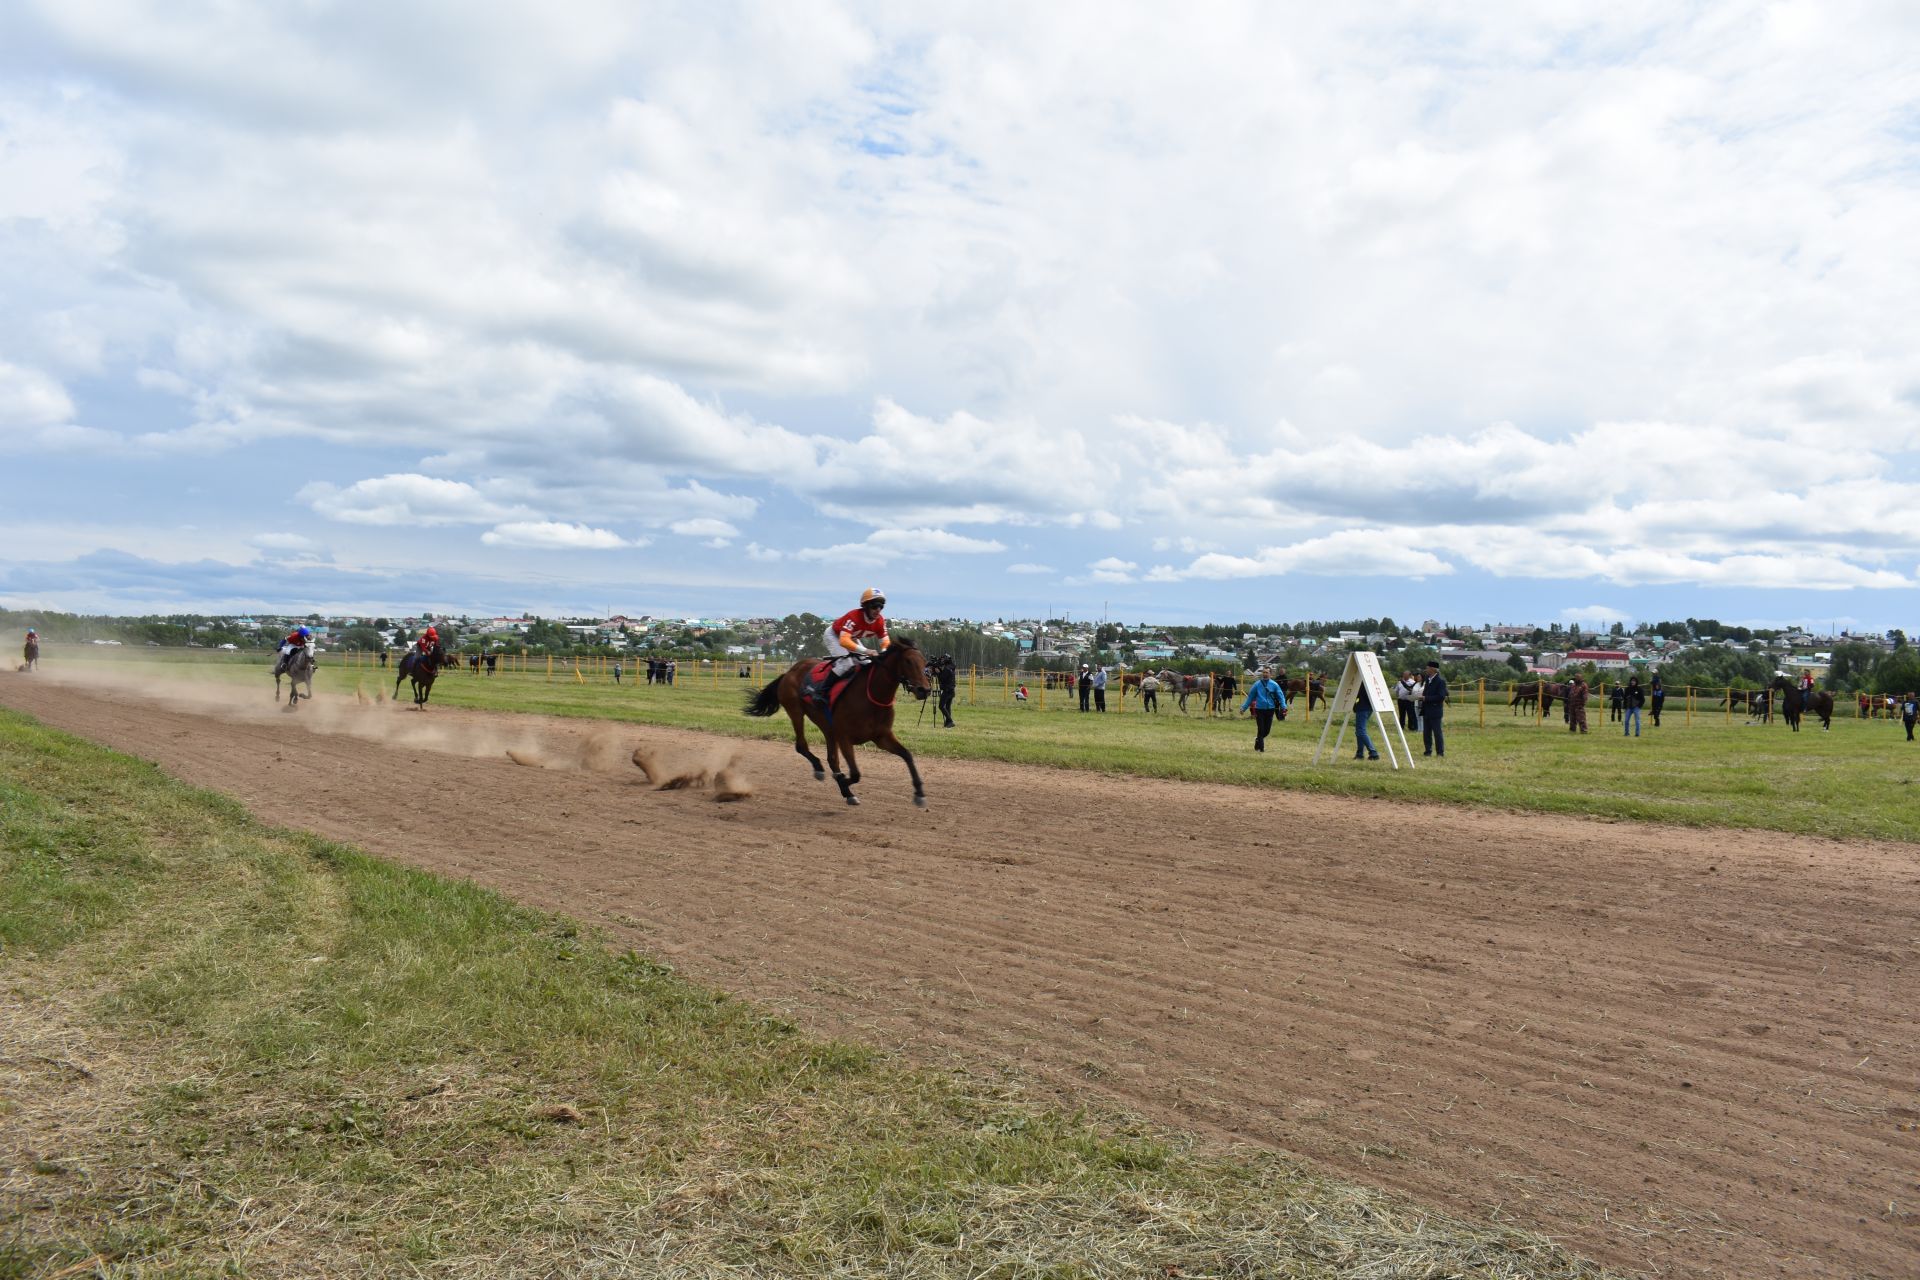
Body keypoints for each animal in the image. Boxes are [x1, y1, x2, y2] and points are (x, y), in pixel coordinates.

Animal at [744, 640, 933, 809]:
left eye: (925, 662)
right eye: (908, 661)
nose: (924, 690)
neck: (870, 695)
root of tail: (790, 671)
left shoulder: (882, 737)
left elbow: (907, 755)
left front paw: (919, 794)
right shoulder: (845, 737)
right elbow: (855, 774)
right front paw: (842, 783)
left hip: (827, 727)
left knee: (832, 759)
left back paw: (845, 789)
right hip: (795, 711)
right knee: (801, 746)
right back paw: (820, 770)